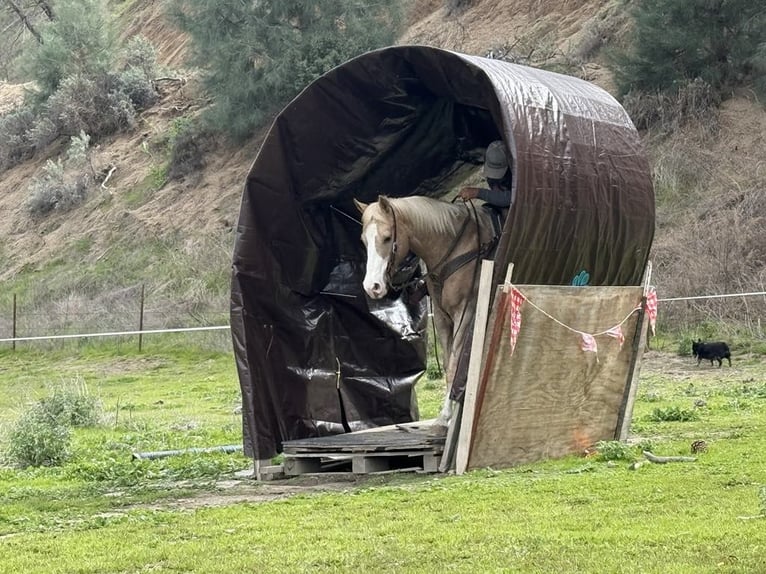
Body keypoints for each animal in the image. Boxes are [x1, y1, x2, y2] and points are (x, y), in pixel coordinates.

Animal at [354, 195, 502, 432]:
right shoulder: (442, 318)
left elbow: (455, 364)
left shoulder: (465, 312)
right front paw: (445, 417)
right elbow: (449, 362)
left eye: (387, 237)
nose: (372, 287)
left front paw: (445, 418)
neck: (455, 247)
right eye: (364, 241)